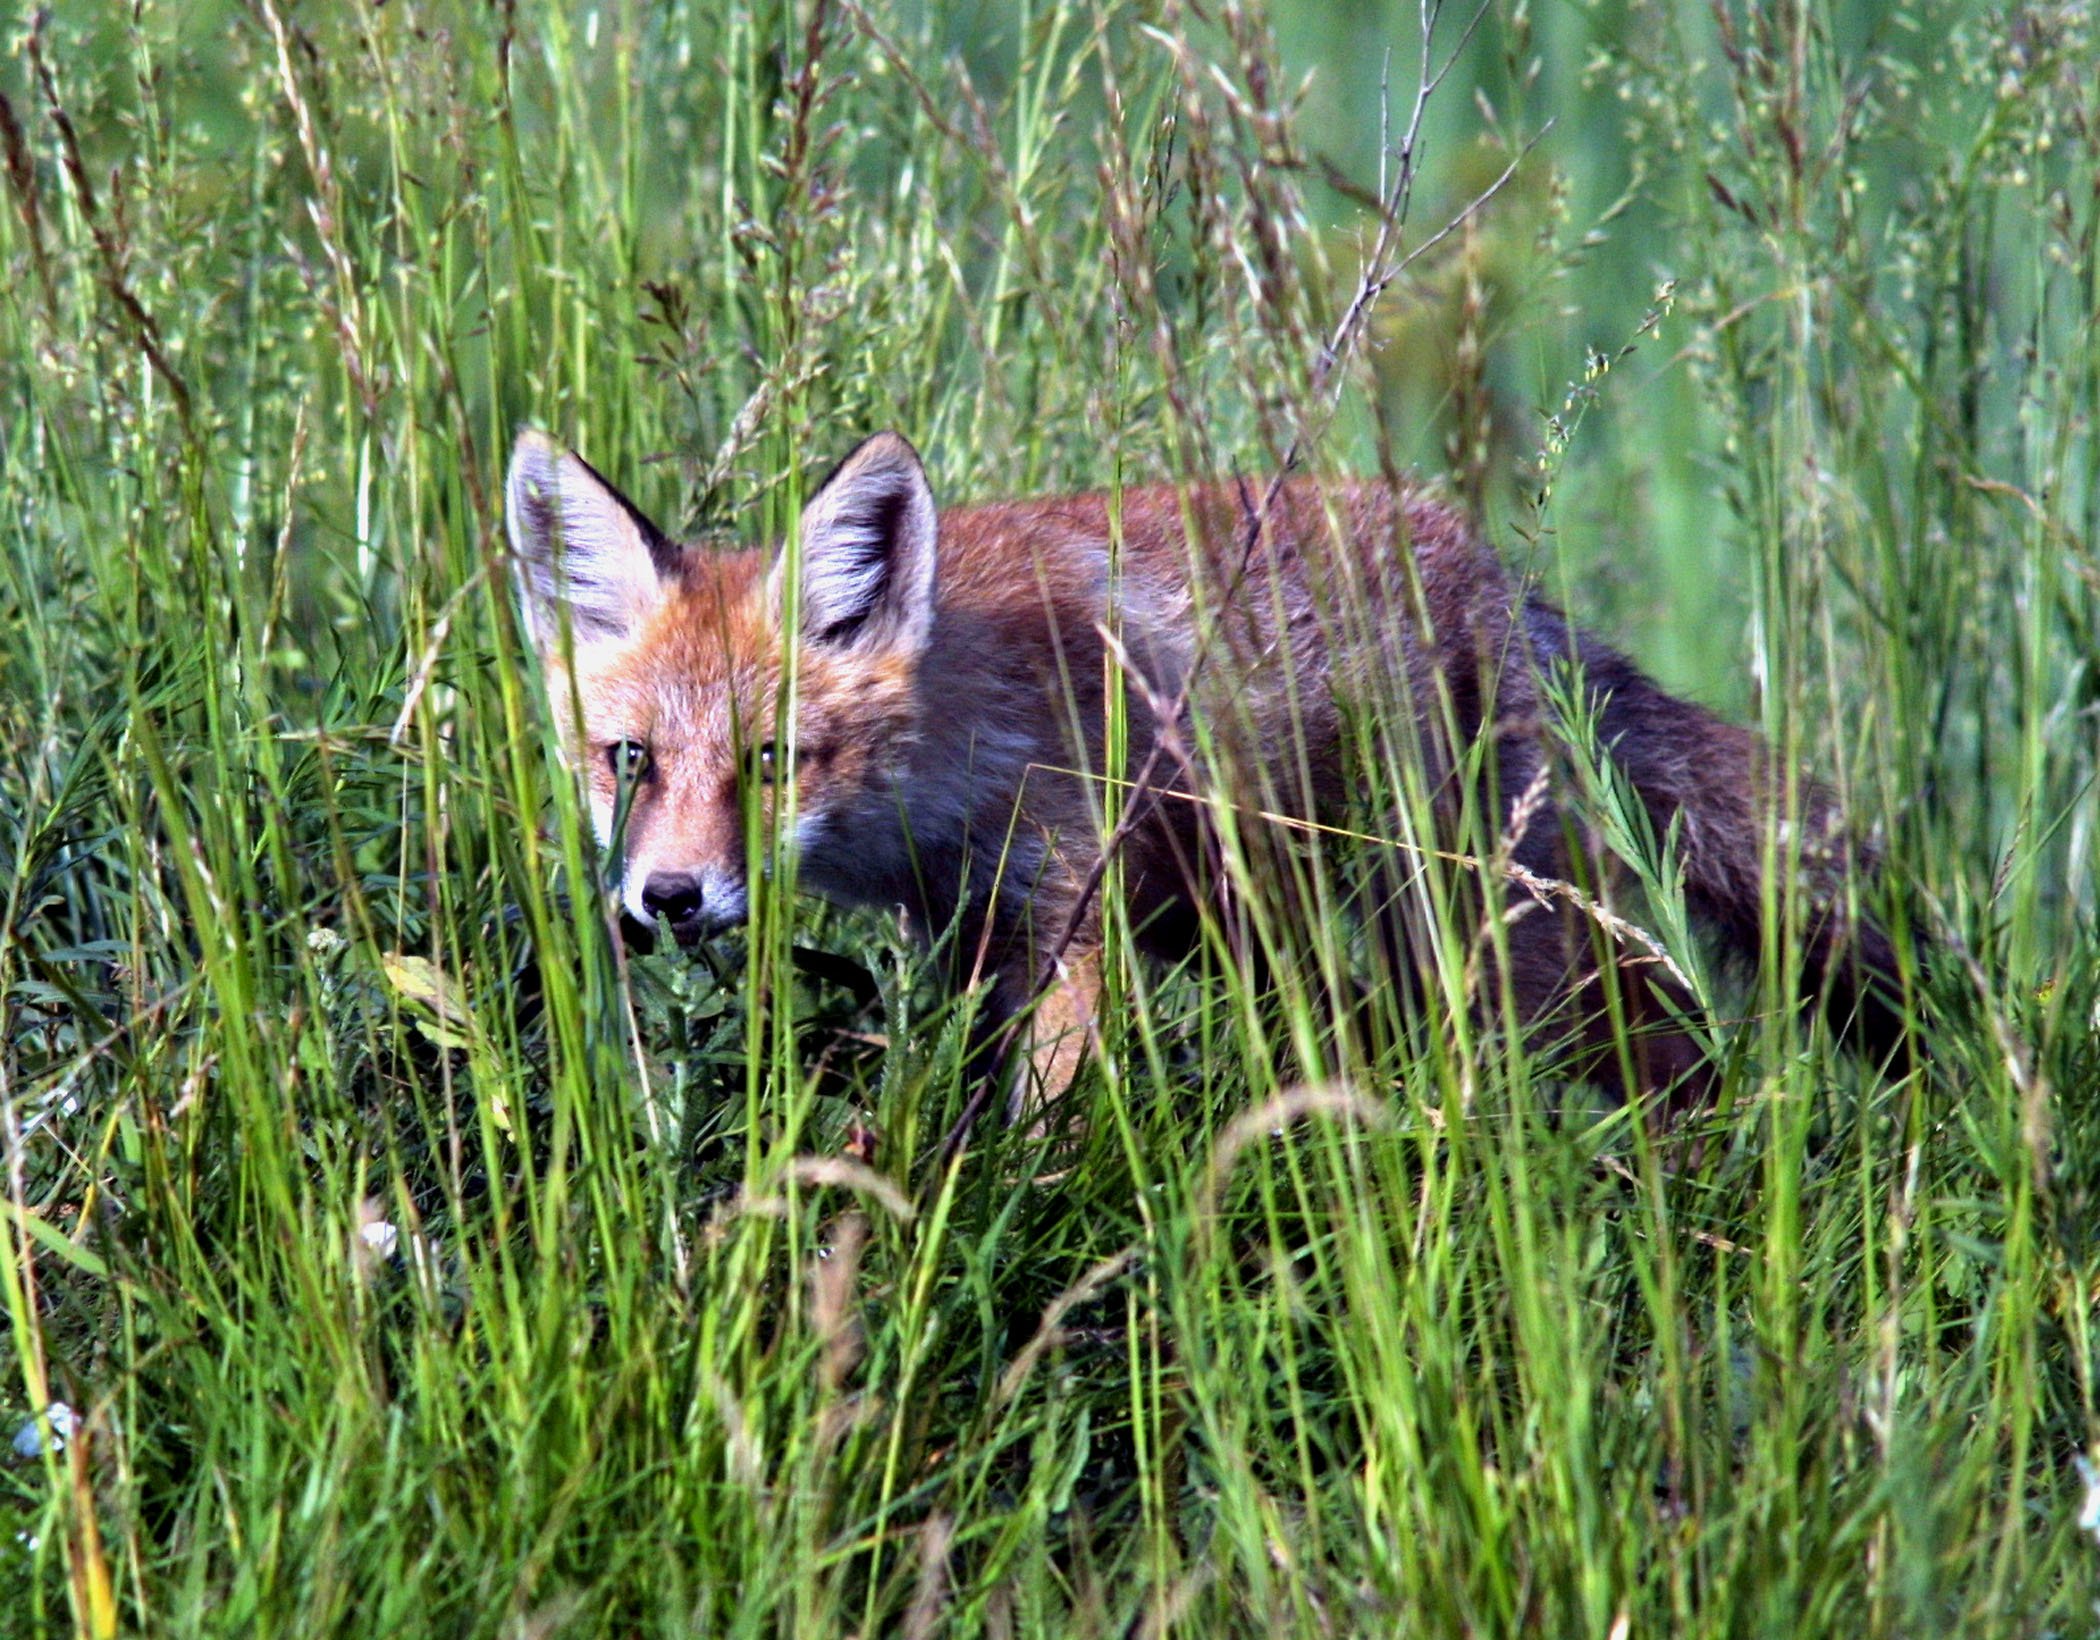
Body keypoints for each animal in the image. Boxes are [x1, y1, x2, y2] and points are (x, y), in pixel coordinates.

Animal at [508, 426, 1923, 1117]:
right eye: (629, 760)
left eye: (773, 761)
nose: (669, 899)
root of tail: (1486, 565)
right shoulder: (973, 932)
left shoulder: (1072, 906)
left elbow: (1045, 1109)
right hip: (1278, 924)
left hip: (1474, 927)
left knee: (1665, 1027)